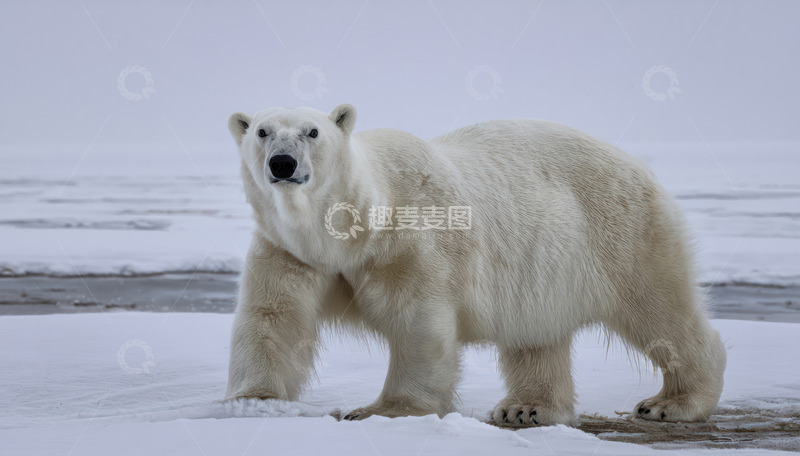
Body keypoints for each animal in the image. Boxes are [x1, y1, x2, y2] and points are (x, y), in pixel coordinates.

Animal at [224, 104, 727, 427]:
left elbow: (415, 322)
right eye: (262, 132)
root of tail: (638, 165)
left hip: (621, 230)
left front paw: (384, 410)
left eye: (312, 132)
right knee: (536, 336)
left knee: (659, 309)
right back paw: (526, 408)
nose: (283, 164)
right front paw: (252, 402)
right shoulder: (289, 251)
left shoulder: (407, 241)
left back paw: (670, 403)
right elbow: (273, 317)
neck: (354, 228)